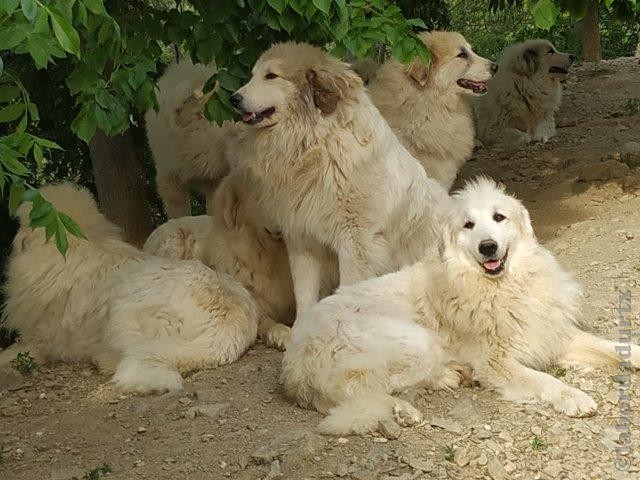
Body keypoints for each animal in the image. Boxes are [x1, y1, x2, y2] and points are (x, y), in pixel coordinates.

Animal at [142, 172, 298, 348]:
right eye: (260, 196)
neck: (271, 253)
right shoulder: (254, 302)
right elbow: (268, 321)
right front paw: (283, 333)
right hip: (175, 240)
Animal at [228, 41, 448, 318]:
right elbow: (304, 295)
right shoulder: (302, 239)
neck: (313, 144)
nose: (233, 98)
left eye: (271, 76)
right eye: (253, 75)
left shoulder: (357, 243)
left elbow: (347, 290)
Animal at [282, 177, 640, 436]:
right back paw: (404, 409)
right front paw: (574, 397)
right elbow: (544, 381)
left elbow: (611, 346)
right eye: (468, 225)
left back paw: (449, 377)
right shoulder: (496, 363)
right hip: (414, 343)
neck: (500, 287)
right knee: (353, 388)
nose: (488, 247)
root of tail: (295, 363)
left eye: (499, 217)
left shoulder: (551, 334)